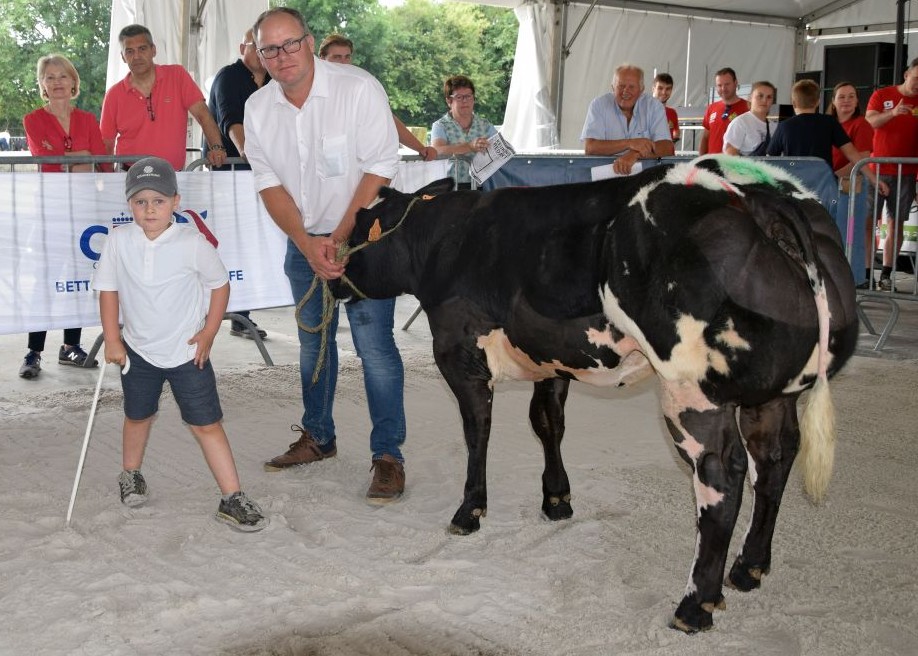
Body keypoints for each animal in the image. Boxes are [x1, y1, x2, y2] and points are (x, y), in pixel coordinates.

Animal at [332, 156, 864, 632]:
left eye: (354, 230)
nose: (330, 273)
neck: (446, 240)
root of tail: (758, 194)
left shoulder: (460, 354)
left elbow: (477, 431)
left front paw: (470, 511)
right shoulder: (551, 358)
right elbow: (547, 423)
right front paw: (556, 498)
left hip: (692, 391)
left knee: (722, 473)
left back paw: (695, 604)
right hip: (771, 394)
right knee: (774, 458)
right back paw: (749, 567)